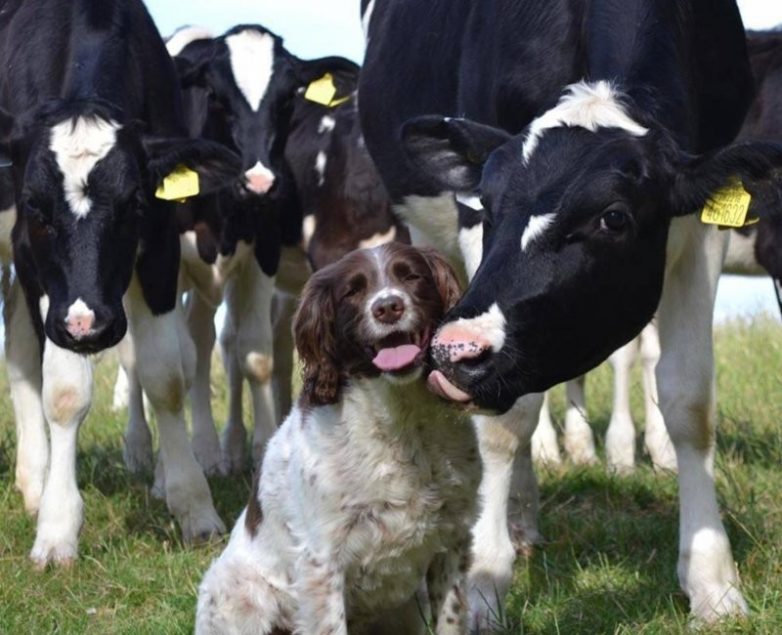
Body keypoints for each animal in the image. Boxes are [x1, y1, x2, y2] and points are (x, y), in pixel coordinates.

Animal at [0, 0, 240, 568]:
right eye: (36, 205)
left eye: (133, 202)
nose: (89, 326)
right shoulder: (37, 264)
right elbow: (64, 391)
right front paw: (57, 529)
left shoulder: (161, 248)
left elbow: (165, 377)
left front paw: (194, 505)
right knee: (22, 350)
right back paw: (36, 481)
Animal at [194, 245, 484, 635]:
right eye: (352, 291)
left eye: (411, 276)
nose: (388, 307)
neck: (402, 423)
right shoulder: (323, 560)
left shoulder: (451, 540)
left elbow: (450, 619)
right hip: (239, 596)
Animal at [362, 0, 782, 628]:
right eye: (490, 204)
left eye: (613, 217)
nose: (453, 351)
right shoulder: (466, 226)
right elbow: (503, 425)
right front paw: (481, 583)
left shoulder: (700, 225)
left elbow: (689, 400)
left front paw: (713, 582)